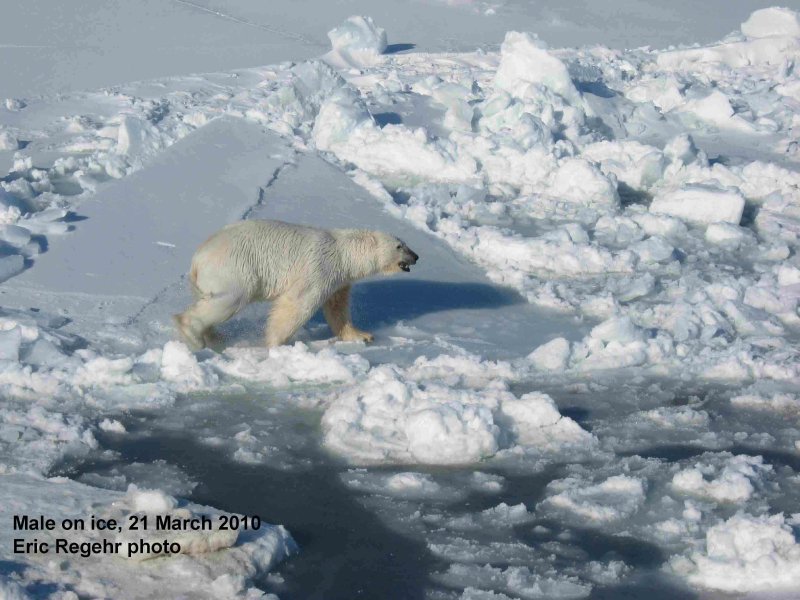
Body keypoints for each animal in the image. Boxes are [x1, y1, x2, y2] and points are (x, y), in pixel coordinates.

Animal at [173, 219, 418, 352]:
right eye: (400, 246)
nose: (416, 256)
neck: (343, 252)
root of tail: (197, 259)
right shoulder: (320, 267)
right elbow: (298, 303)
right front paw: (275, 343)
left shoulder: (338, 280)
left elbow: (337, 309)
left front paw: (362, 335)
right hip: (235, 269)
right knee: (230, 299)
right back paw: (194, 334)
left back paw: (215, 338)